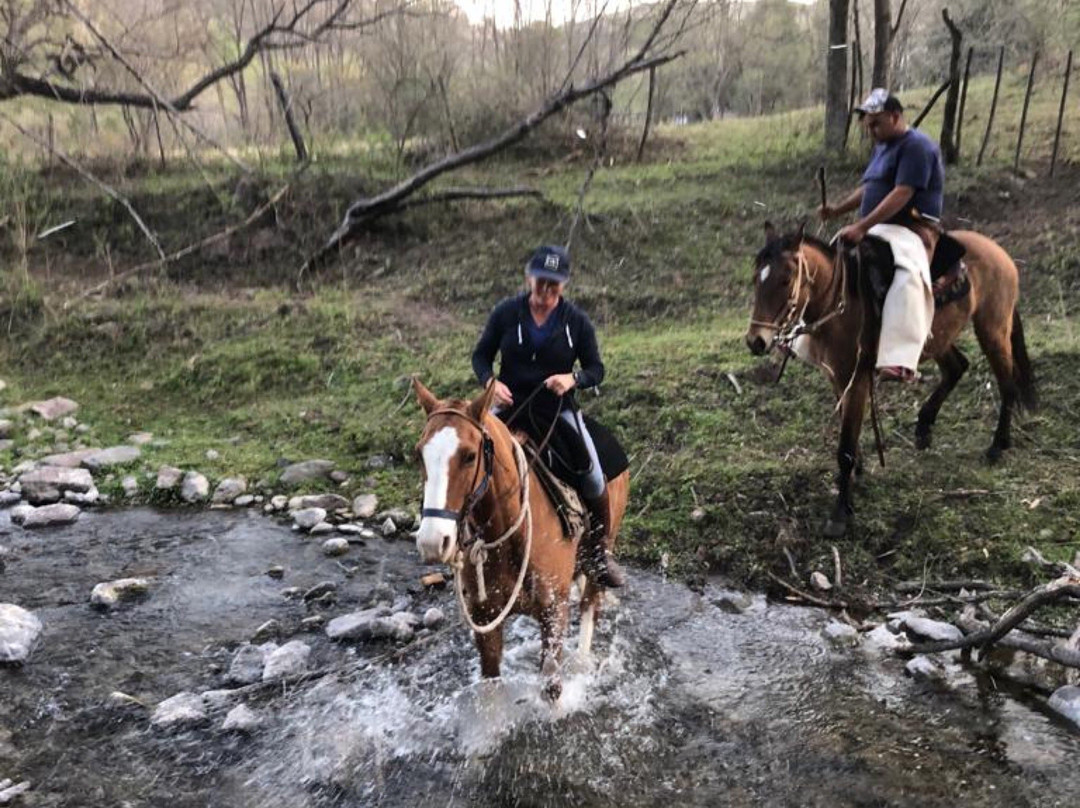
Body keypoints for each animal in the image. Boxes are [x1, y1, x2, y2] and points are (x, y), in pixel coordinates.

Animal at [412, 378, 630, 699]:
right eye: (419, 454)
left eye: (469, 456)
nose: (432, 540)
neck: (509, 533)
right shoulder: (485, 622)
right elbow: (491, 689)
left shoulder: (553, 615)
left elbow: (552, 688)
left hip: (604, 546)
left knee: (590, 603)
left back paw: (581, 662)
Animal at [743, 222, 1036, 535]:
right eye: (756, 279)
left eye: (786, 280)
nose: (756, 341)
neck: (840, 303)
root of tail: (999, 252)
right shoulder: (837, 377)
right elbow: (848, 432)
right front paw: (856, 476)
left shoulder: (857, 380)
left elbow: (845, 448)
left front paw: (840, 513)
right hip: (937, 337)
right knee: (957, 367)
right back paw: (924, 427)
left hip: (992, 327)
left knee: (1007, 383)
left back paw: (998, 445)